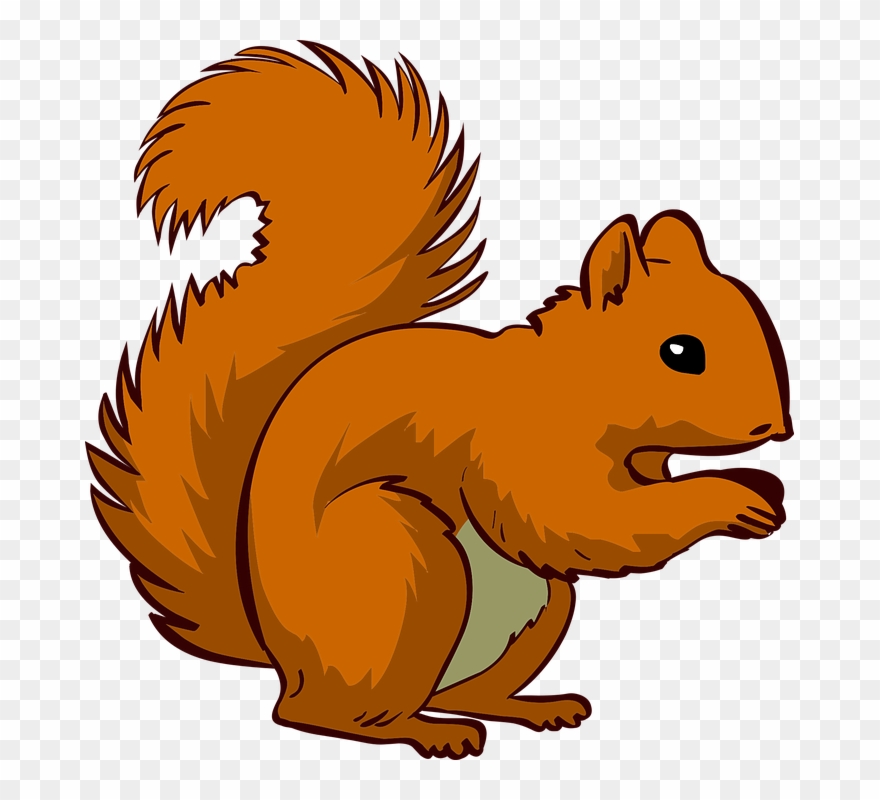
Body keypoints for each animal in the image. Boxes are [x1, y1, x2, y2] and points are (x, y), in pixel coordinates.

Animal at [87, 43, 793, 759]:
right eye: (681, 352)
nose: (778, 427)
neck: (569, 384)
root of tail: (280, 652)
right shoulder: (518, 450)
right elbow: (584, 522)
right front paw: (734, 495)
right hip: (403, 567)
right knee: (320, 714)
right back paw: (425, 732)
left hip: (540, 608)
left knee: (456, 694)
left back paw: (527, 708)